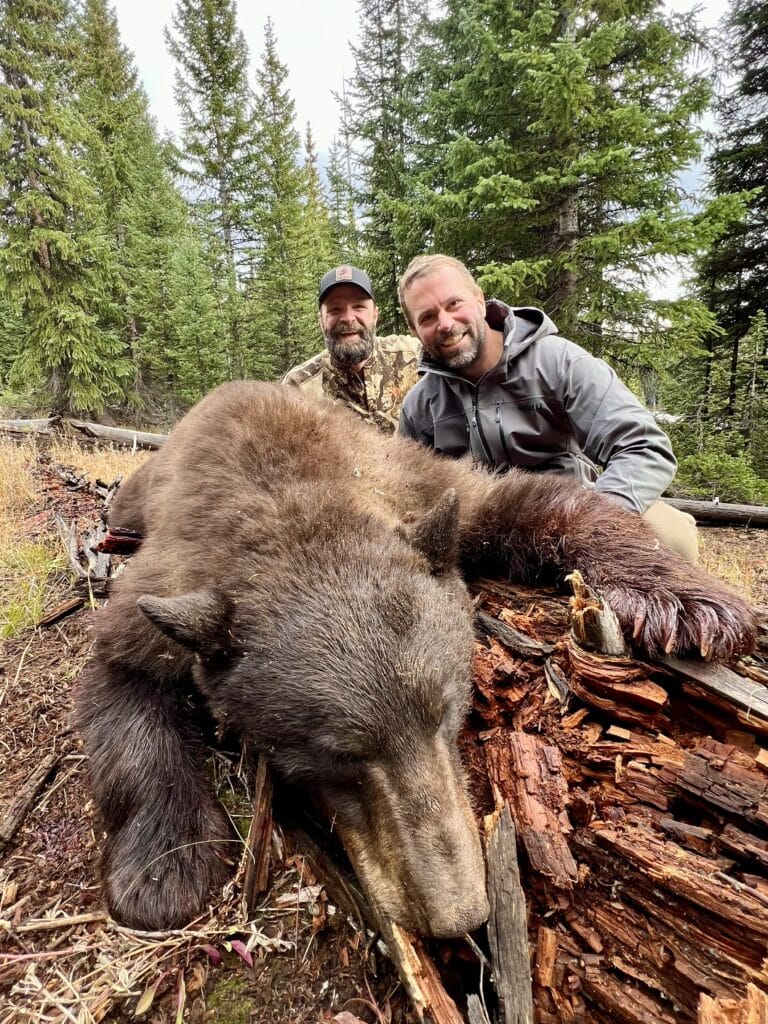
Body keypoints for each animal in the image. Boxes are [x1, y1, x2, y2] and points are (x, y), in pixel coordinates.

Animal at [76, 380, 757, 937]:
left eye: (449, 712)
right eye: (339, 756)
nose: (460, 915)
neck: (295, 506)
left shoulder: (411, 485)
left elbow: (536, 502)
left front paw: (691, 604)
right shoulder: (171, 582)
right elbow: (118, 679)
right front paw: (165, 864)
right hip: (142, 490)